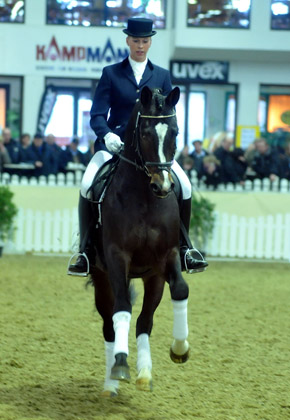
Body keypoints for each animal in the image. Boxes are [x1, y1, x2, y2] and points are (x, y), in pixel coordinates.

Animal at [90, 86, 190, 398]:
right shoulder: (116, 257)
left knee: (145, 321)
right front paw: (120, 364)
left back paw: (145, 373)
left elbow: (180, 290)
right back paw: (110, 382)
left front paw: (180, 348)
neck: (145, 197)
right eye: (144, 133)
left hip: (152, 277)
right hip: (101, 277)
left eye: (175, 132)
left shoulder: (167, 256)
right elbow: (122, 307)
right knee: (109, 322)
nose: (163, 186)